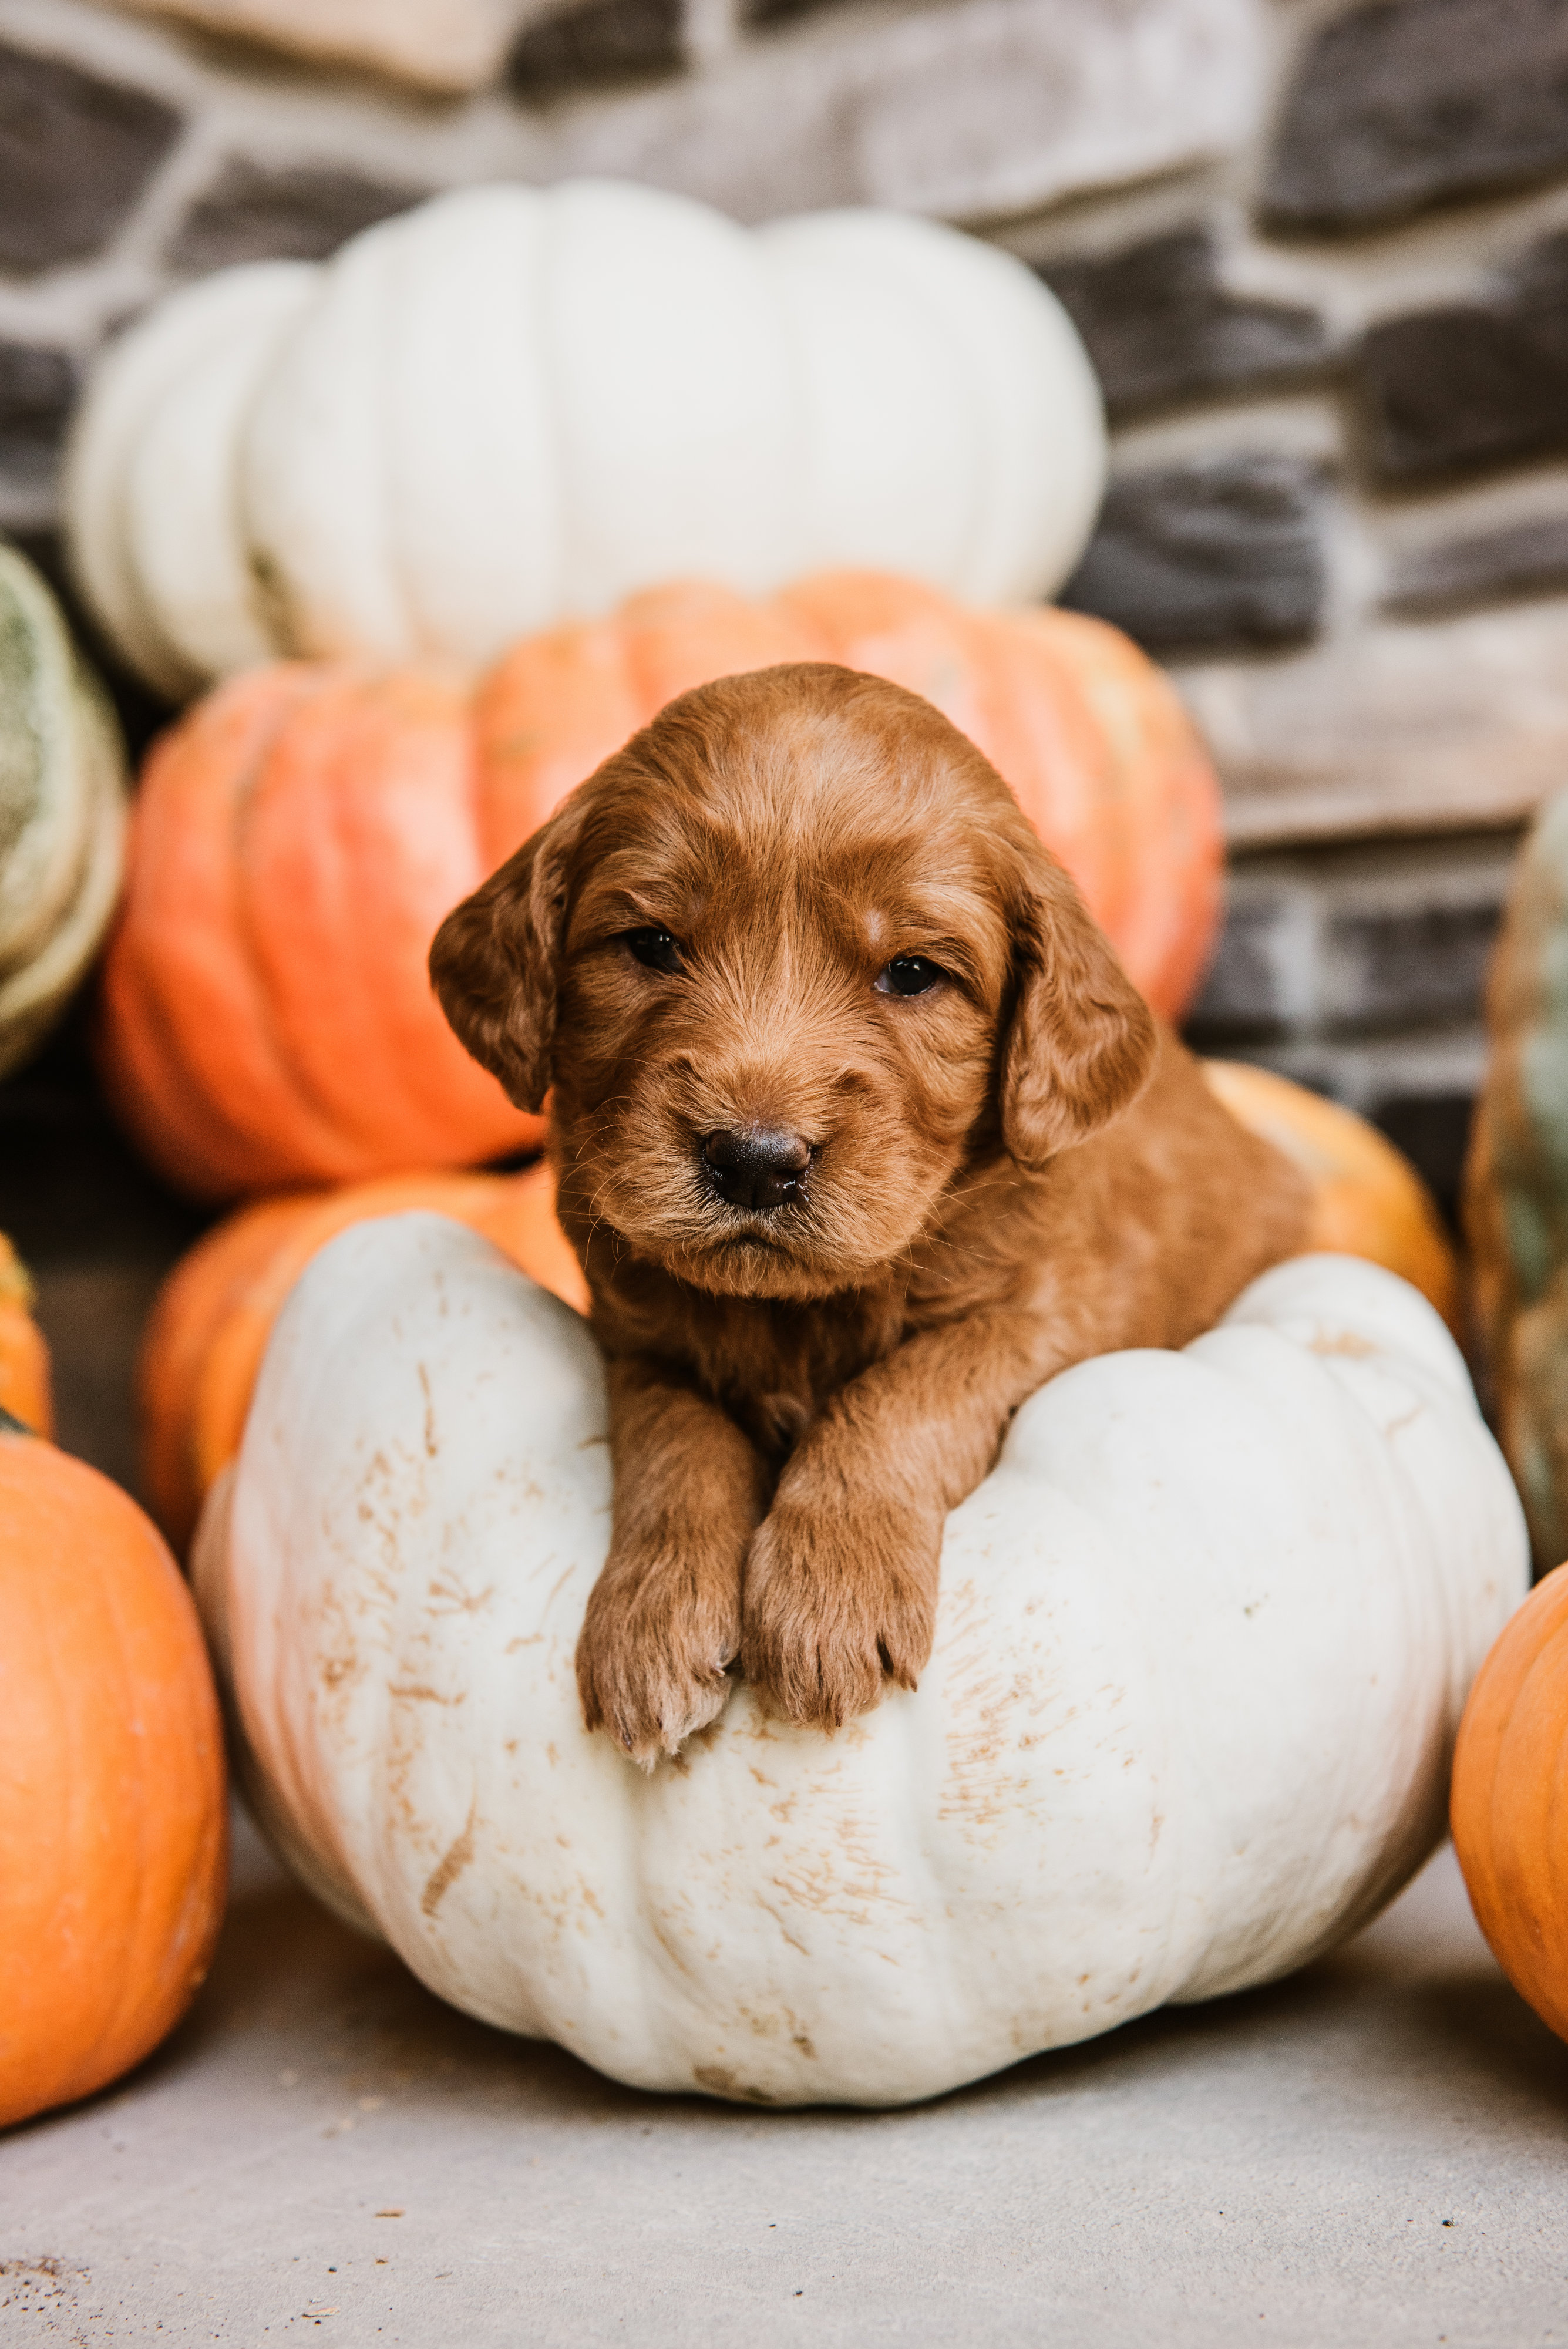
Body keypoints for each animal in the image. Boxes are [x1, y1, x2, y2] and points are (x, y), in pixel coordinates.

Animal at [432, 662, 1314, 1766]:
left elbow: (904, 1394)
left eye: (912, 973)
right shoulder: (637, 1341)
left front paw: (829, 1598)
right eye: (651, 945)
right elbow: (677, 1445)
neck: (799, 1310)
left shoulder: (1051, 1311)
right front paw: (650, 1623)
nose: (754, 1162)